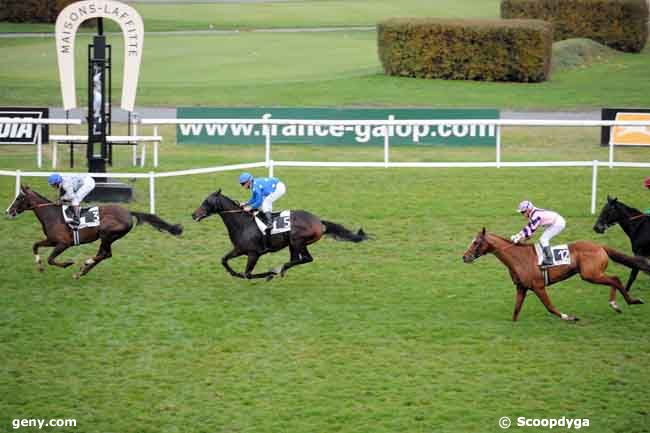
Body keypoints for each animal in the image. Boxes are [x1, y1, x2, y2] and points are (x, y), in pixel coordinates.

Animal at [6, 184, 181, 278]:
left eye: (19, 198)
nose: (8, 211)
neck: (52, 215)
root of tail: (129, 212)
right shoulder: (51, 240)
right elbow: (35, 245)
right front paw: (39, 265)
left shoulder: (63, 243)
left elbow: (51, 259)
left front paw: (68, 263)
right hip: (109, 237)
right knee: (104, 254)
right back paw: (82, 271)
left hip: (106, 233)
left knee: (105, 254)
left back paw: (85, 265)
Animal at [190, 189, 368, 280]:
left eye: (206, 202)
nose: (193, 214)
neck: (243, 223)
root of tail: (320, 222)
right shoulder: (240, 249)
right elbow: (224, 260)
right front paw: (233, 273)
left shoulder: (254, 253)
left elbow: (248, 274)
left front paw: (268, 274)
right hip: (293, 244)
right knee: (298, 259)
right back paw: (280, 270)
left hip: (297, 241)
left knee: (305, 259)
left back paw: (277, 270)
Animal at [460, 230, 644, 320]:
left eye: (476, 242)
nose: (464, 257)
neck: (518, 257)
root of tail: (600, 246)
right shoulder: (521, 288)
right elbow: (516, 311)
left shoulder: (538, 286)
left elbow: (550, 307)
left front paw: (568, 317)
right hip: (593, 274)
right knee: (614, 279)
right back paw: (616, 304)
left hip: (590, 275)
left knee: (615, 279)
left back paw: (629, 301)